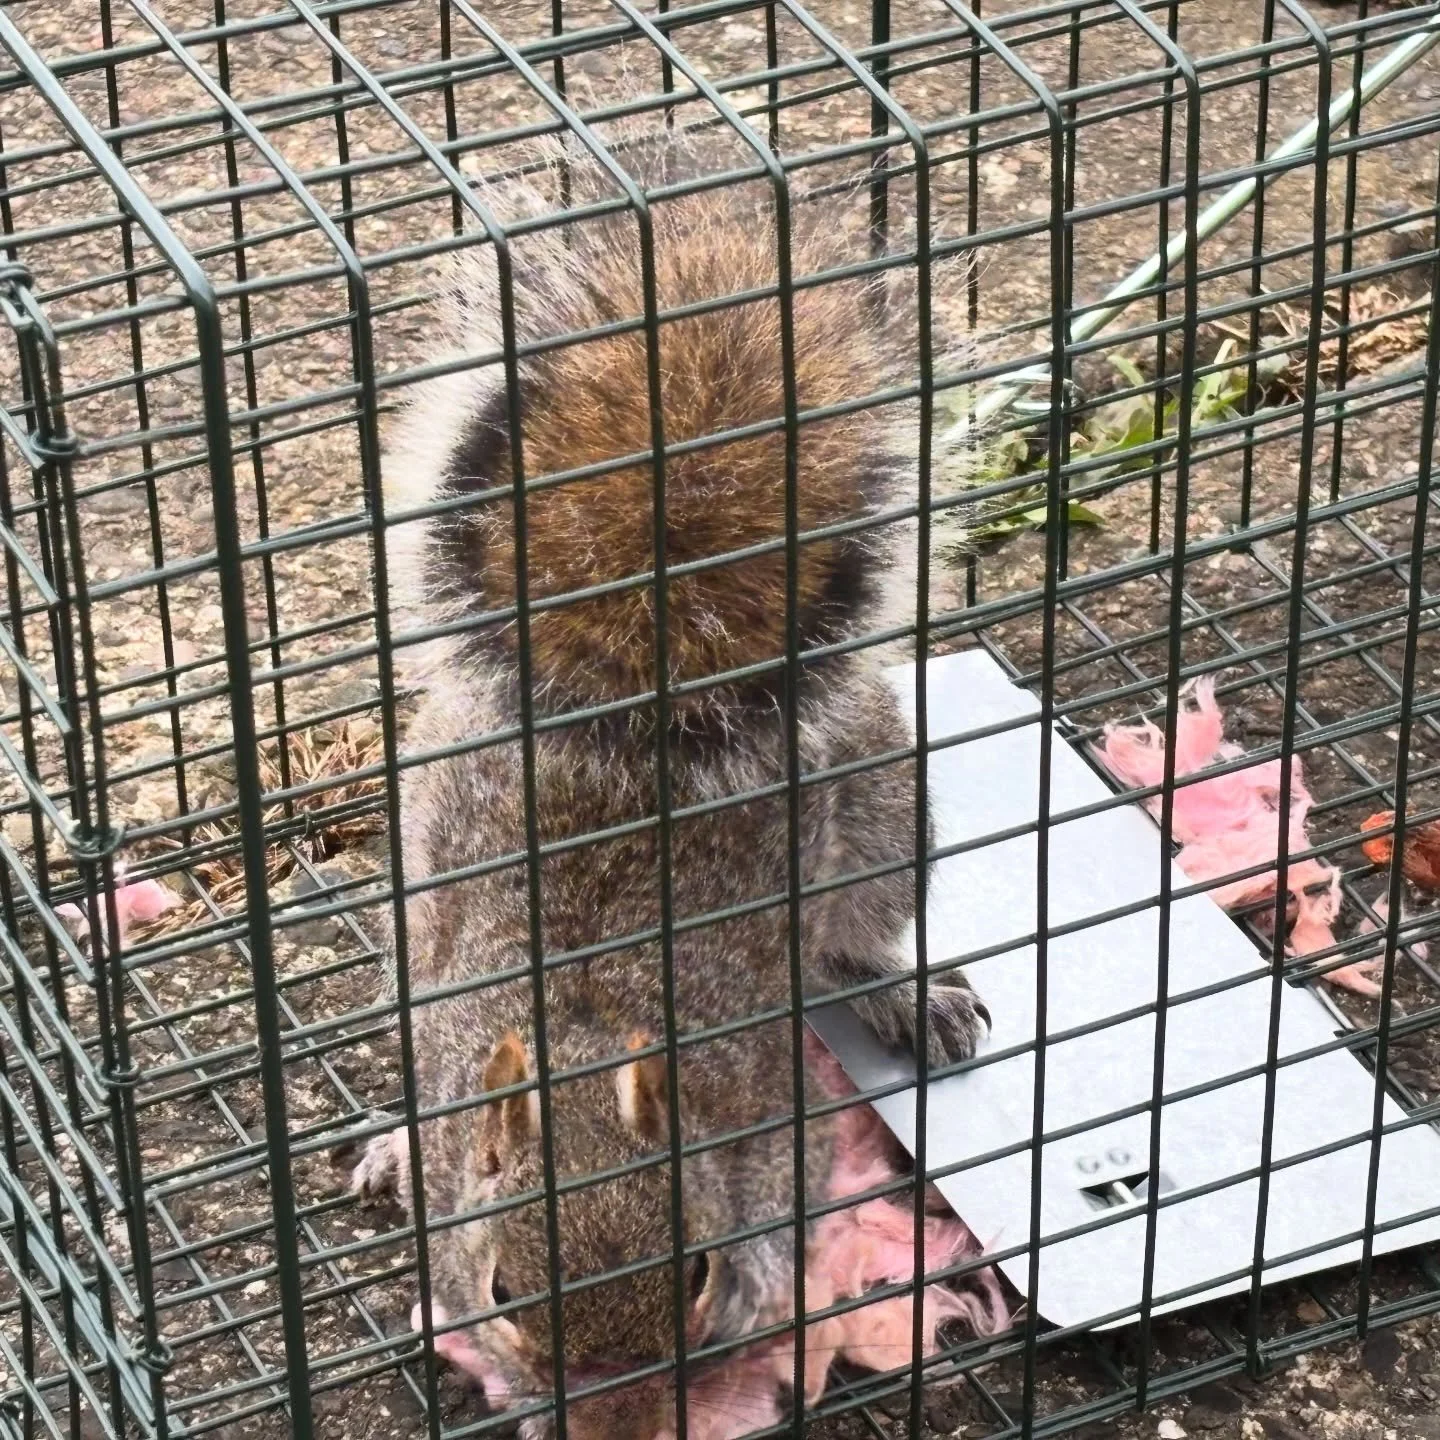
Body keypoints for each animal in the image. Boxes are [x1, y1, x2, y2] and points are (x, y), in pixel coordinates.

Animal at [351, 115, 990, 1439]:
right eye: (502, 1290)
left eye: (693, 1271)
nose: (614, 1418)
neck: (594, 1031)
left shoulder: (769, 1125)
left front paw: (752, 1305)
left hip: (881, 819)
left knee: (849, 944)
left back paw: (905, 995)